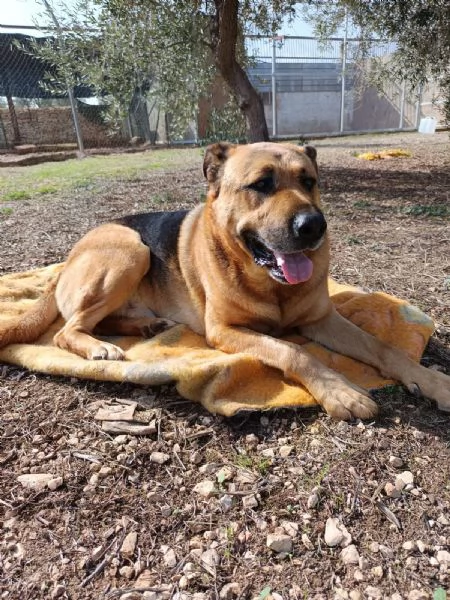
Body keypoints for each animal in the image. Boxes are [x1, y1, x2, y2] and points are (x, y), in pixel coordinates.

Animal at [0, 143, 450, 420]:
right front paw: (339, 391)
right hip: (131, 249)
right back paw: (99, 347)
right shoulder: (226, 331)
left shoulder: (322, 320)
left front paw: (430, 381)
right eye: (262, 184)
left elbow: (383, 348)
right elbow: (293, 352)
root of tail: (67, 259)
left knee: (98, 321)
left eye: (309, 181)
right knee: (67, 331)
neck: (269, 282)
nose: (314, 226)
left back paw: (145, 325)